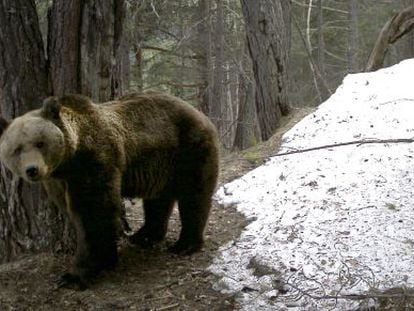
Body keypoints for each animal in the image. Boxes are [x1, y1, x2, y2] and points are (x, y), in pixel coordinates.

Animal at [0, 93, 220, 290]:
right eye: (17, 149)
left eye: (40, 143)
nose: (32, 170)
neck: (68, 162)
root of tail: (198, 112)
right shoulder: (57, 182)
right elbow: (73, 212)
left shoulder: (94, 163)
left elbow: (93, 215)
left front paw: (76, 274)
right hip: (161, 165)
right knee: (157, 201)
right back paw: (144, 236)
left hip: (189, 148)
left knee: (193, 195)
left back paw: (185, 244)